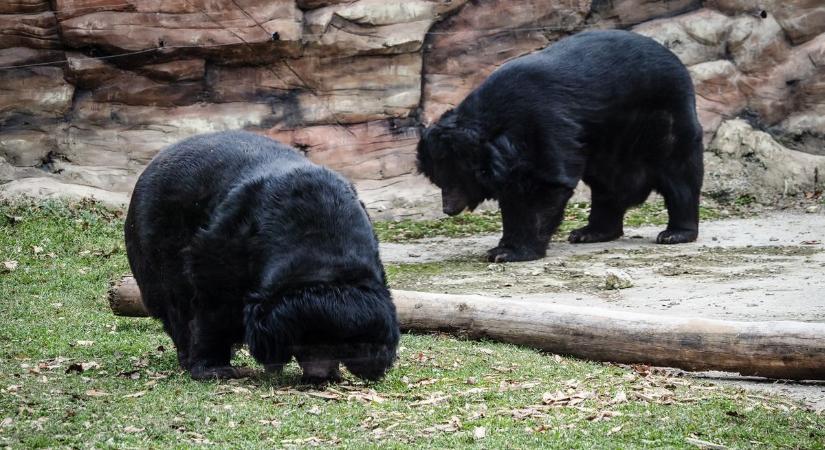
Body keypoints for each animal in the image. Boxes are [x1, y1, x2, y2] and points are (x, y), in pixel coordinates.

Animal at [123, 132, 402, 382]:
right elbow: (214, 303)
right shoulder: (227, 243)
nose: (319, 375)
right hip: (155, 241)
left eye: (340, 344)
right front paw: (213, 369)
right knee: (173, 301)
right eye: (302, 342)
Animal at [418, 30, 700, 264]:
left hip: (665, 117)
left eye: (457, 179)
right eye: (440, 181)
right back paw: (590, 232)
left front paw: (511, 252)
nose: (448, 209)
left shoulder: (545, 127)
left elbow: (546, 186)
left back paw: (675, 233)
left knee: (679, 174)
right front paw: (502, 247)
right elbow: (513, 196)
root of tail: (674, 58)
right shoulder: (513, 163)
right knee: (607, 188)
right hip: (608, 145)